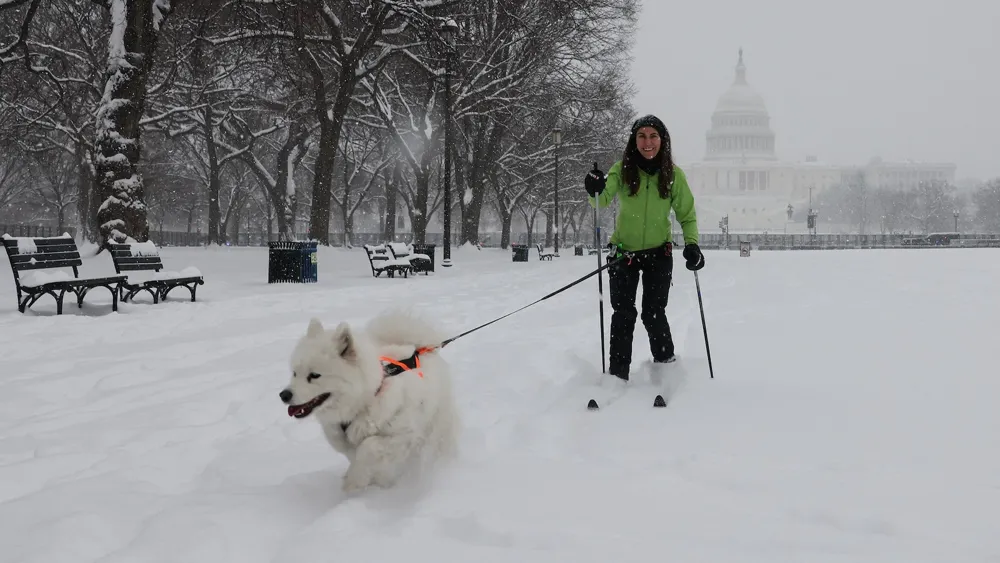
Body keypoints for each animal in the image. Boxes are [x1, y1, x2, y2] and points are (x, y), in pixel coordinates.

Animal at [278, 310, 458, 492]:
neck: (365, 402)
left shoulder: (405, 435)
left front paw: (355, 481)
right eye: (294, 373)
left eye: (314, 375)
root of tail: (418, 348)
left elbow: (368, 446)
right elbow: (353, 453)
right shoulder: (343, 439)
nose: (284, 395)